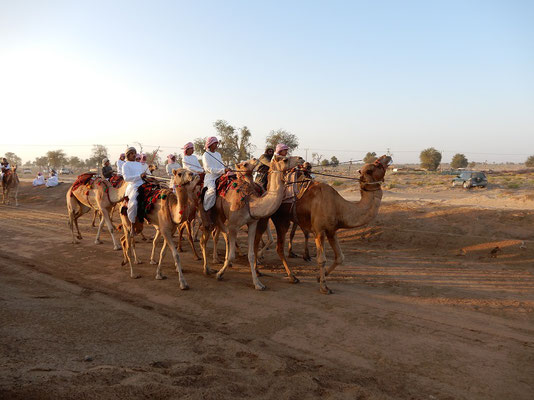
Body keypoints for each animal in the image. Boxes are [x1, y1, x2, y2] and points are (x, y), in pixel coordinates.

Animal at [200, 154, 306, 290]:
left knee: (220, 234)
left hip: (221, 217)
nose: (300, 158)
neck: (250, 203)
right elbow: (232, 254)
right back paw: (207, 268)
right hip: (207, 214)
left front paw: (258, 283)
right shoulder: (234, 225)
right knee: (204, 239)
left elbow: (251, 254)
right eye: (285, 159)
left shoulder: (252, 223)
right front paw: (220, 274)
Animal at [255, 155, 394, 294]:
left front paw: (319, 277)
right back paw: (285, 275)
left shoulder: (332, 230)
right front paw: (324, 287)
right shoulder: (319, 230)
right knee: (270, 245)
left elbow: (340, 257)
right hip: (276, 219)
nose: (387, 156)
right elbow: (321, 259)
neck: (338, 206)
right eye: (377, 164)